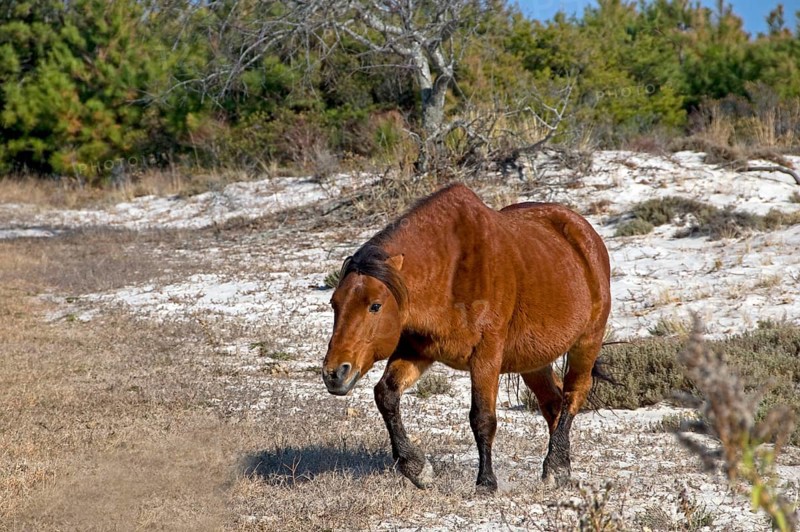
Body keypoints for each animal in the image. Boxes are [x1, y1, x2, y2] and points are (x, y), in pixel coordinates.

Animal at [322, 183, 611, 492]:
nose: (334, 373)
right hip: (533, 360)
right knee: (553, 403)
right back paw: (560, 466)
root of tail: (585, 234)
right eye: (334, 304)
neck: (450, 268)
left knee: (572, 395)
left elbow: (482, 418)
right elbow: (386, 395)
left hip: (586, 342)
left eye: (375, 305)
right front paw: (416, 468)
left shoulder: (486, 355)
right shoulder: (417, 350)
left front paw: (486, 482)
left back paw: (555, 467)